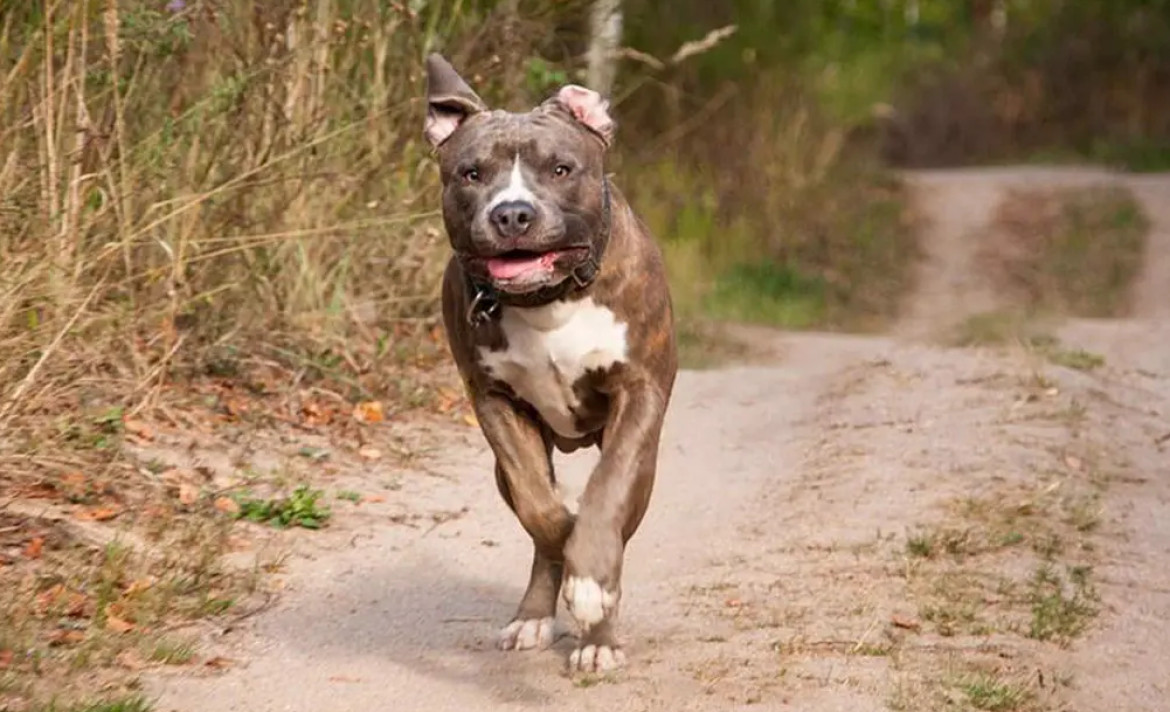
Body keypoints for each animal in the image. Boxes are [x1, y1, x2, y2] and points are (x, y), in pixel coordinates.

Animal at [423, 52, 678, 668]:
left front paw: (592, 588)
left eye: (561, 169)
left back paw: (599, 636)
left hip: (646, 462)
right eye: (471, 174)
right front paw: (566, 539)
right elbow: (541, 509)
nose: (512, 213)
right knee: (538, 520)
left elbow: (607, 496)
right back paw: (535, 615)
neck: (548, 300)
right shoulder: (494, 402)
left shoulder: (638, 393)